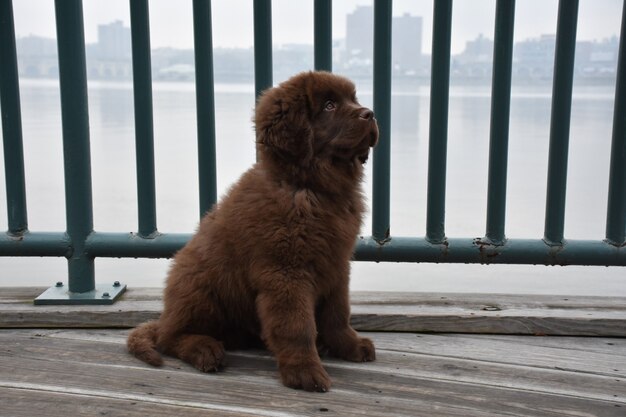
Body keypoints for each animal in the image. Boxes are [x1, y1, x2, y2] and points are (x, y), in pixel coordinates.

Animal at [128, 70, 376, 392]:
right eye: (329, 105)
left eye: (353, 99)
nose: (370, 114)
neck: (312, 189)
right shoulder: (285, 272)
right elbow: (297, 326)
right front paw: (304, 372)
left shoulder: (336, 264)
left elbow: (337, 313)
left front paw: (349, 346)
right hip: (200, 285)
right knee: (169, 337)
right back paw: (203, 349)